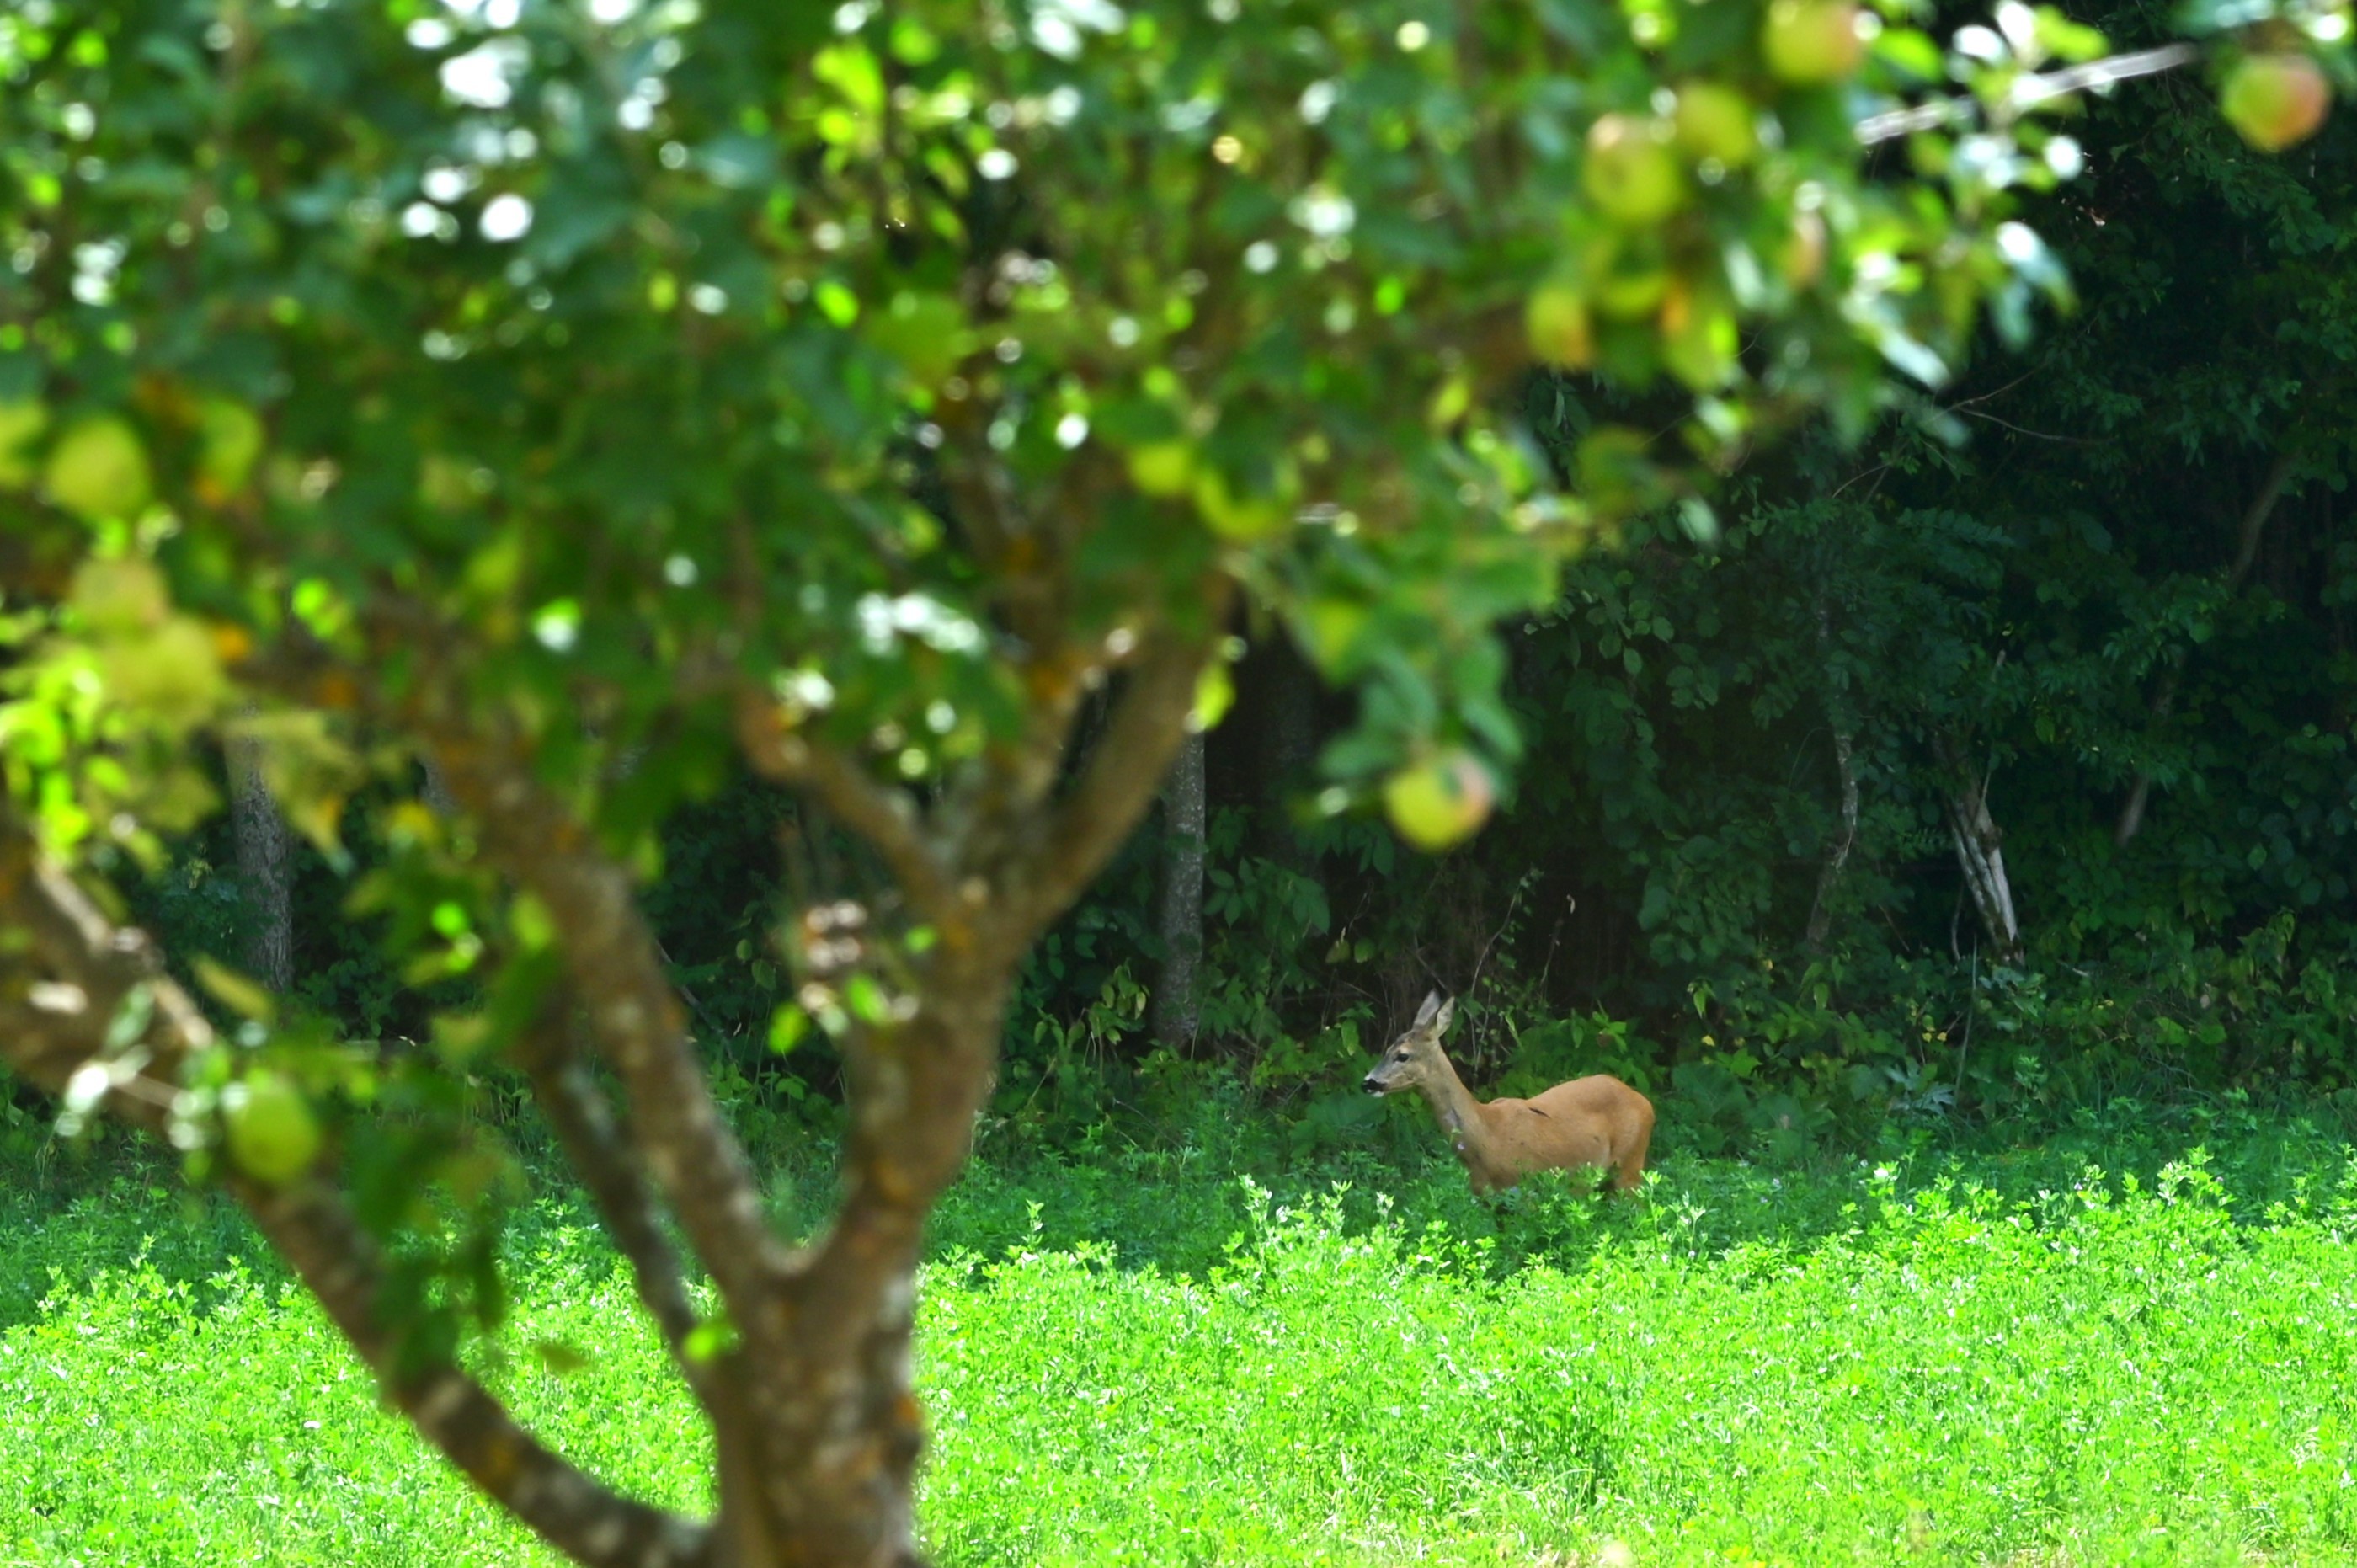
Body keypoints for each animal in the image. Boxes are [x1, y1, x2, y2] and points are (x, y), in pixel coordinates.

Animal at [1367, 990, 1659, 1197]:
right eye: (1386, 1049)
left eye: (1402, 1055)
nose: (1368, 1082)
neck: (1488, 1137)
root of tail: (1644, 1101)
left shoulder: (1526, 1188)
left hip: (1631, 1163)